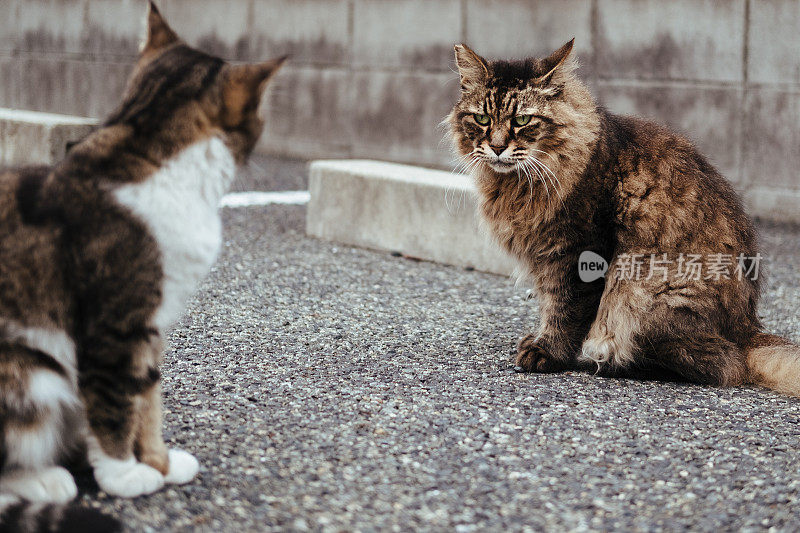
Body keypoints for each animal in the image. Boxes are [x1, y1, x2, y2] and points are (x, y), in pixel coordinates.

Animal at [0, 3, 288, 528]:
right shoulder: (114, 326)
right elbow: (115, 401)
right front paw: (124, 475)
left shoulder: (152, 325)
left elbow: (147, 397)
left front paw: (159, 461)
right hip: (30, 374)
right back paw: (43, 480)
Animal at [450, 38, 800, 394]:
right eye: (481, 118)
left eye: (522, 121)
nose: (496, 147)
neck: (518, 184)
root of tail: (747, 327)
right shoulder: (547, 258)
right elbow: (550, 303)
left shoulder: (578, 252)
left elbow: (565, 310)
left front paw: (547, 353)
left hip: (644, 288)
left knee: (722, 364)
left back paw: (608, 359)